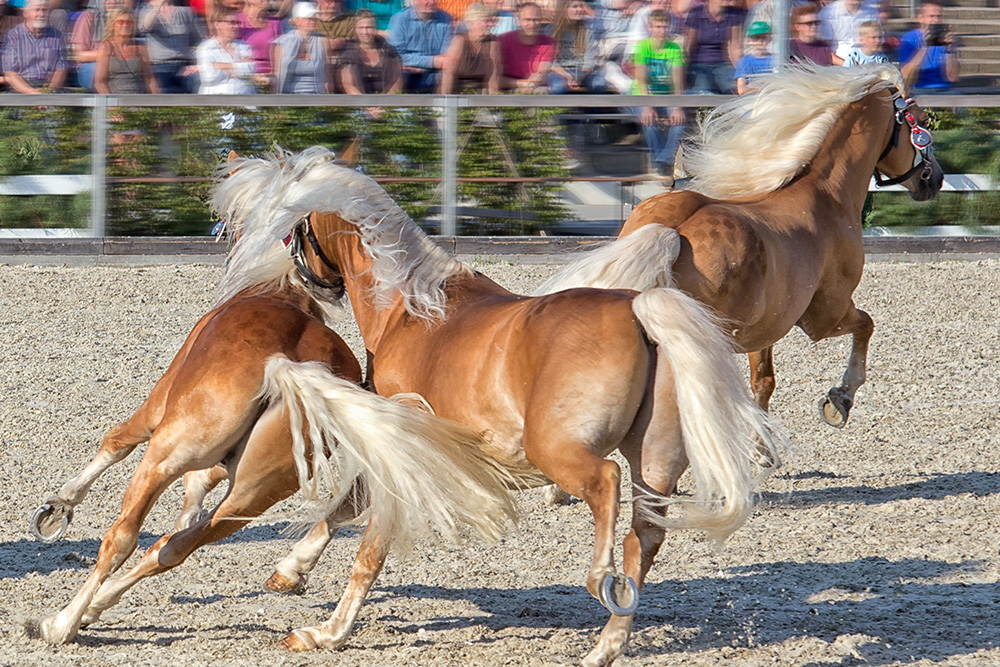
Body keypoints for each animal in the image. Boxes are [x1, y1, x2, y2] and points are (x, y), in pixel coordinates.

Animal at [213, 147, 788, 667]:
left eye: (288, 227)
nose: (290, 282)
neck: (410, 308)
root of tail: (639, 309)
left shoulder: (402, 444)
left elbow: (367, 545)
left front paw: (326, 633)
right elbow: (343, 509)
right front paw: (290, 573)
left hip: (558, 448)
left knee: (605, 484)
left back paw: (598, 577)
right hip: (655, 463)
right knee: (642, 539)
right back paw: (604, 646)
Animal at [536, 64, 940, 428]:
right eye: (919, 124)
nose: (934, 179)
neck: (825, 195)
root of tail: (670, 233)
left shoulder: (766, 327)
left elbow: (763, 381)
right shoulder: (825, 315)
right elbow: (866, 325)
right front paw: (839, 400)